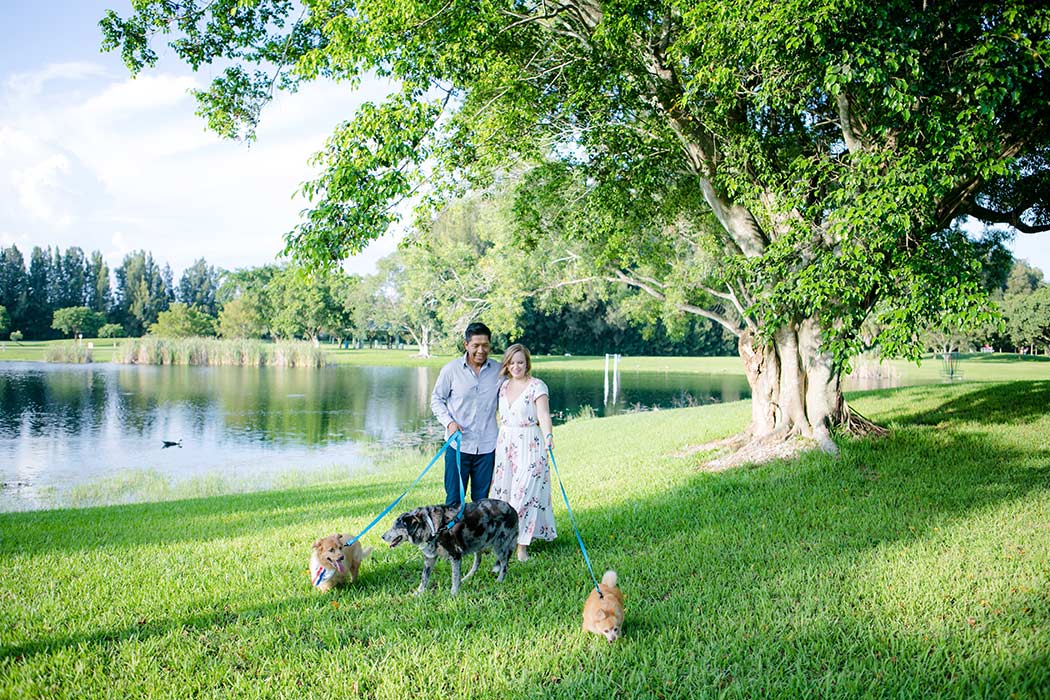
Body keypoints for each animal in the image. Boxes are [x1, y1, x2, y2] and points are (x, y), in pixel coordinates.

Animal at [384, 497, 518, 596]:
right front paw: (418, 593)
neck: (430, 525)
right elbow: (424, 577)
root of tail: (512, 508)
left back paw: (499, 581)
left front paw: (453, 594)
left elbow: (454, 576)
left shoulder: (455, 555)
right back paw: (467, 578)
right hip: (477, 542)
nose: (382, 536)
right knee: (477, 562)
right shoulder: (430, 558)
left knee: (504, 565)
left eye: (395, 527)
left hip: (500, 547)